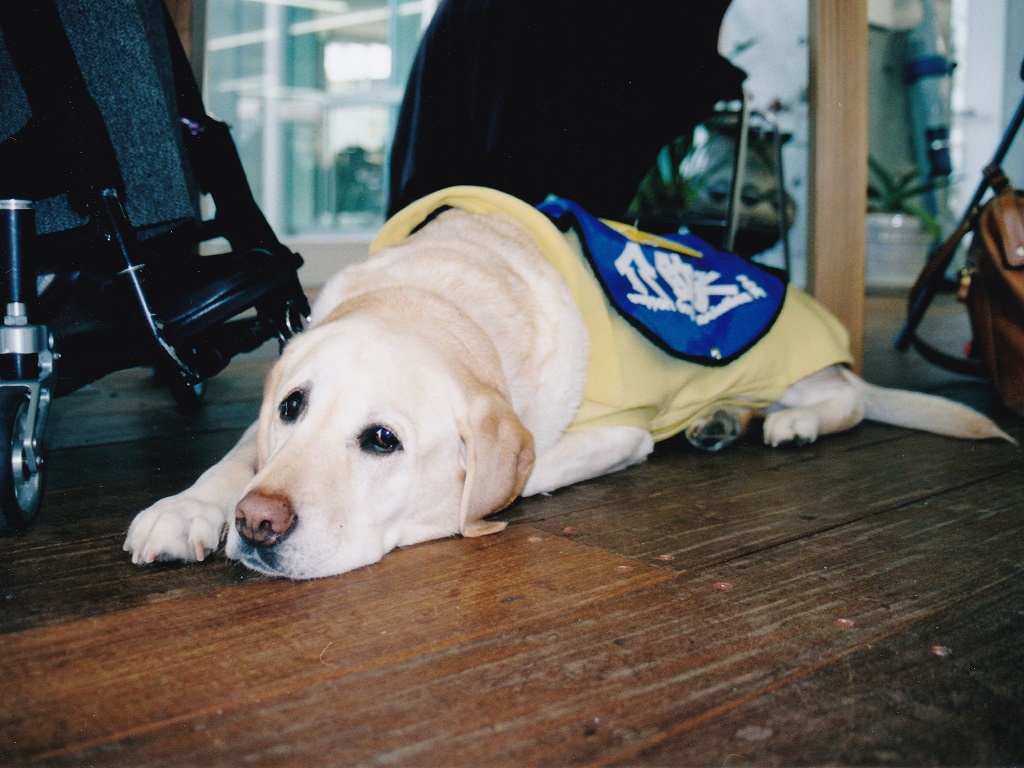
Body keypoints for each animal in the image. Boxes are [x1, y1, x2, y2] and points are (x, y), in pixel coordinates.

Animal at [125, 189, 1007, 581]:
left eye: (382, 441)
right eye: (291, 407)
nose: (259, 524)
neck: (444, 294)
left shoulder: (618, 432)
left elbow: (516, 478)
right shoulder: (267, 431)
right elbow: (235, 457)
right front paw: (188, 508)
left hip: (793, 370)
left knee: (847, 396)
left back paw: (783, 423)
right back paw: (720, 422)